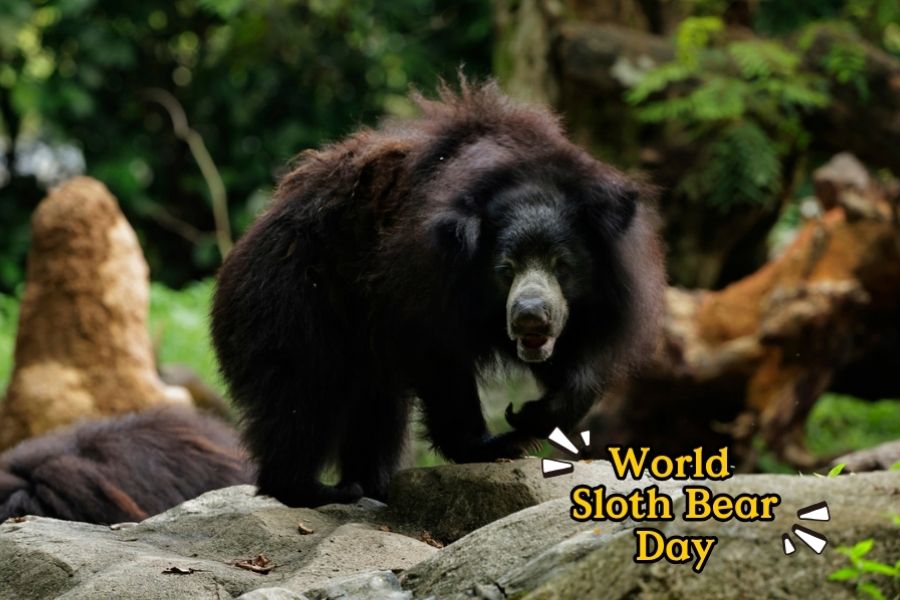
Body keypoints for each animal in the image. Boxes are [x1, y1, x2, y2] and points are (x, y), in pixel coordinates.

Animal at [211, 81, 665, 508]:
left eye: (562, 265)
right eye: (505, 269)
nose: (530, 316)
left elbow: (580, 361)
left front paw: (532, 416)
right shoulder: (422, 279)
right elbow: (439, 359)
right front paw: (495, 443)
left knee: (375, 405)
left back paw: (373, 485)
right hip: (298, 297)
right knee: (304, 390)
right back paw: (313, 489)